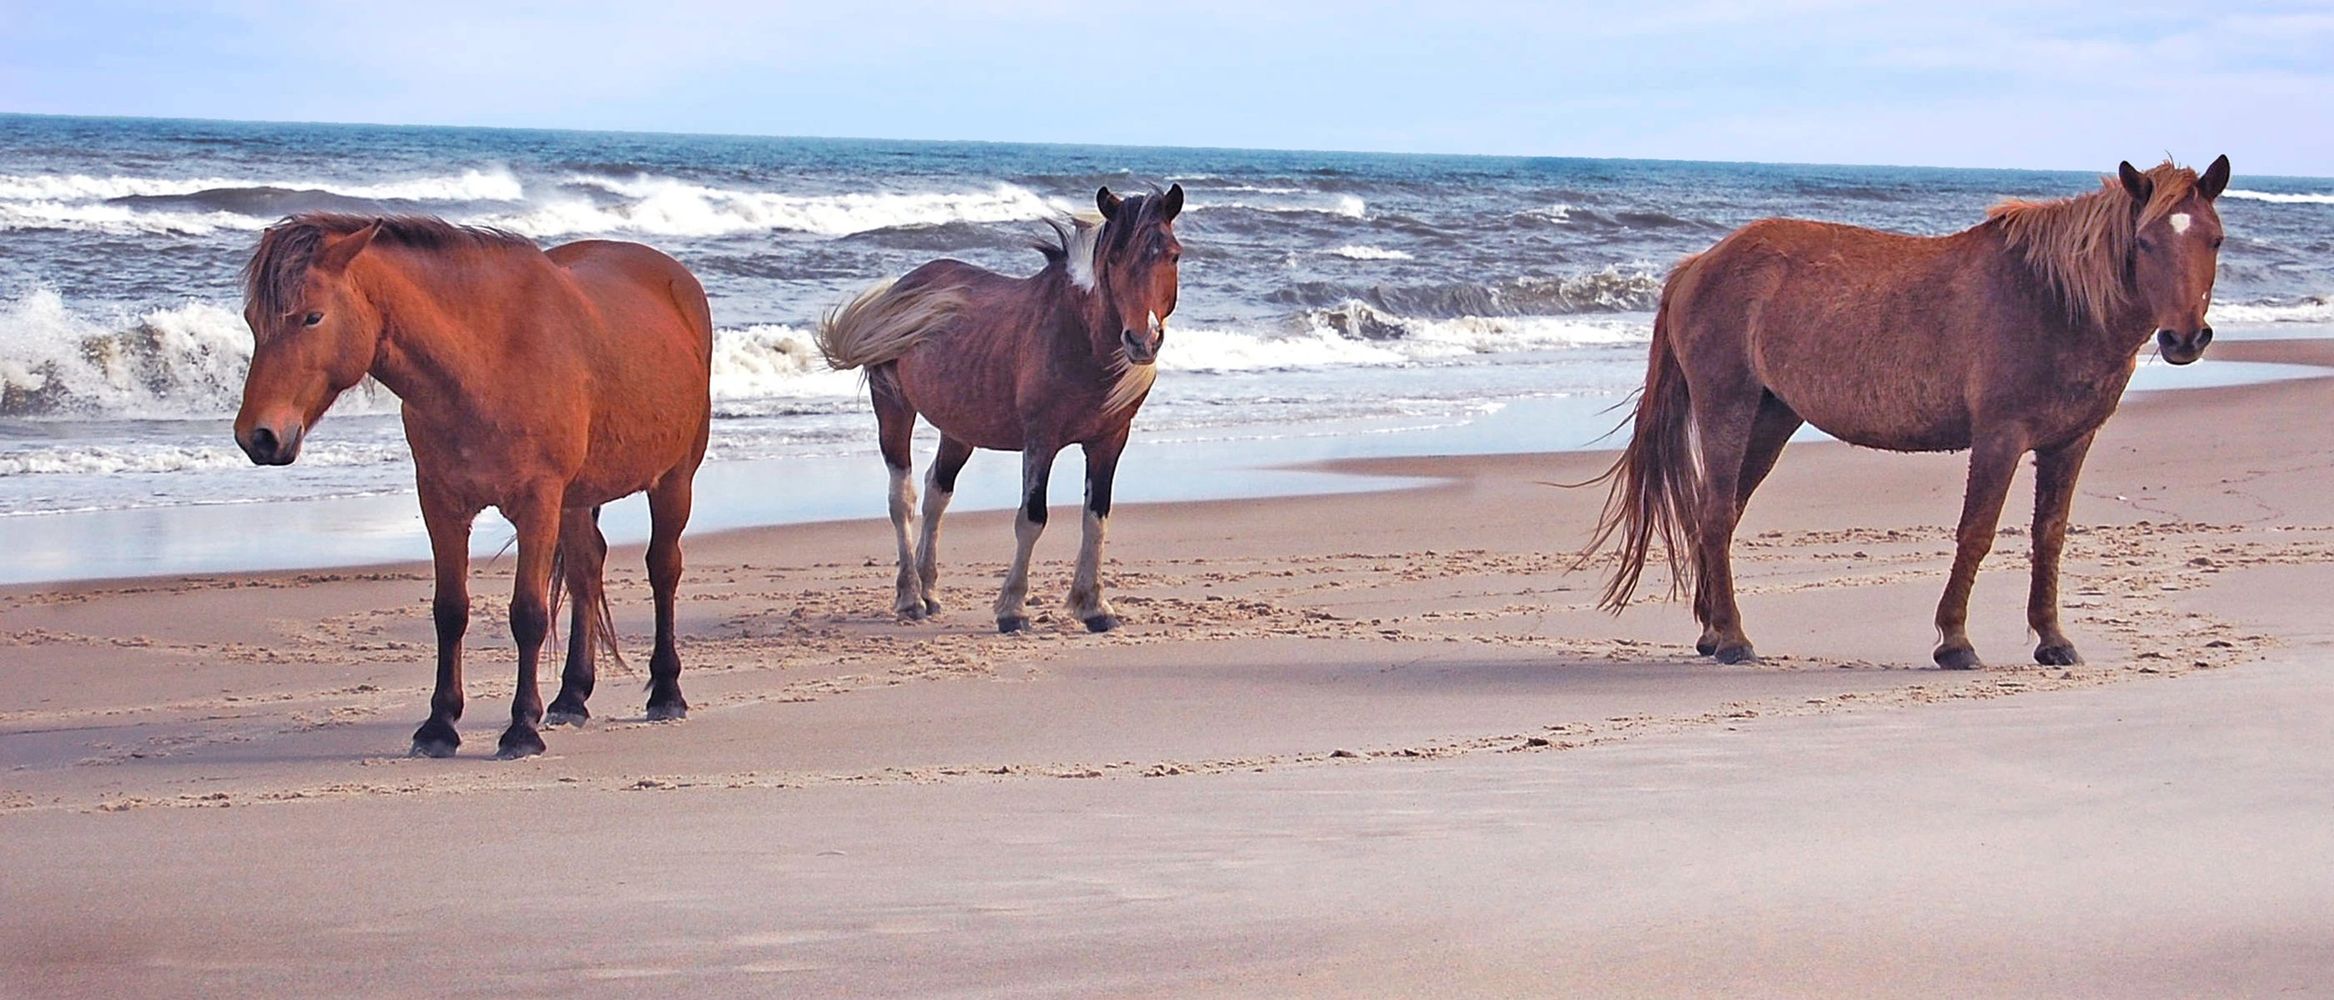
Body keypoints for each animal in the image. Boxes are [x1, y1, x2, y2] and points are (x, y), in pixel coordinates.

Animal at [238, 212, 714, 757]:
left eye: (312, 317)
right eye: (252, 320)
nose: (259, 436)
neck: (487, 360)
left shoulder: (537, 504)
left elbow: (528, 614)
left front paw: (521, 729)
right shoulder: (442, 503)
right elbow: (450, 611)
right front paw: (438, 726)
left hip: (673, 480)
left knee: (663, 569)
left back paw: (666, 692)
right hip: (575, 500)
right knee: (586, 572)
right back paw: (571, 697)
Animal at [821, 183, 1185, 630]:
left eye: (1173, 254)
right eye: (1114, 256)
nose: (1142, 340)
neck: (1078, 335)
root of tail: (902, 288)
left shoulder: (1110, 441)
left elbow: (1096, 518)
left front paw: (1095, 606)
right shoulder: (1041, 439)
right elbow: (1032, 518)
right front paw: (1012, 608)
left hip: (959, 431)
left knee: (936, 494)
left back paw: (929, 590)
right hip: (893, 411)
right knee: (901, 498)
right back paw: (910, 597)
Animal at [1577, 156, 2231, 668]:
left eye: (2214, 239)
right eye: (2144, 242)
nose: (2184, 338)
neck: (2052, 300)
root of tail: (1700, 263)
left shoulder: (2069, 443)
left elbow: (2049, 535)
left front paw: (2052, 640)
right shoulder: (1999, 437)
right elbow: (1976, 533)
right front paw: (1955, 641)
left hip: (1771, 418)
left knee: (1724, 516)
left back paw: (1714, 632)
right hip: (1727, 409)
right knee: (1713, 516)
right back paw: (1734, 639)